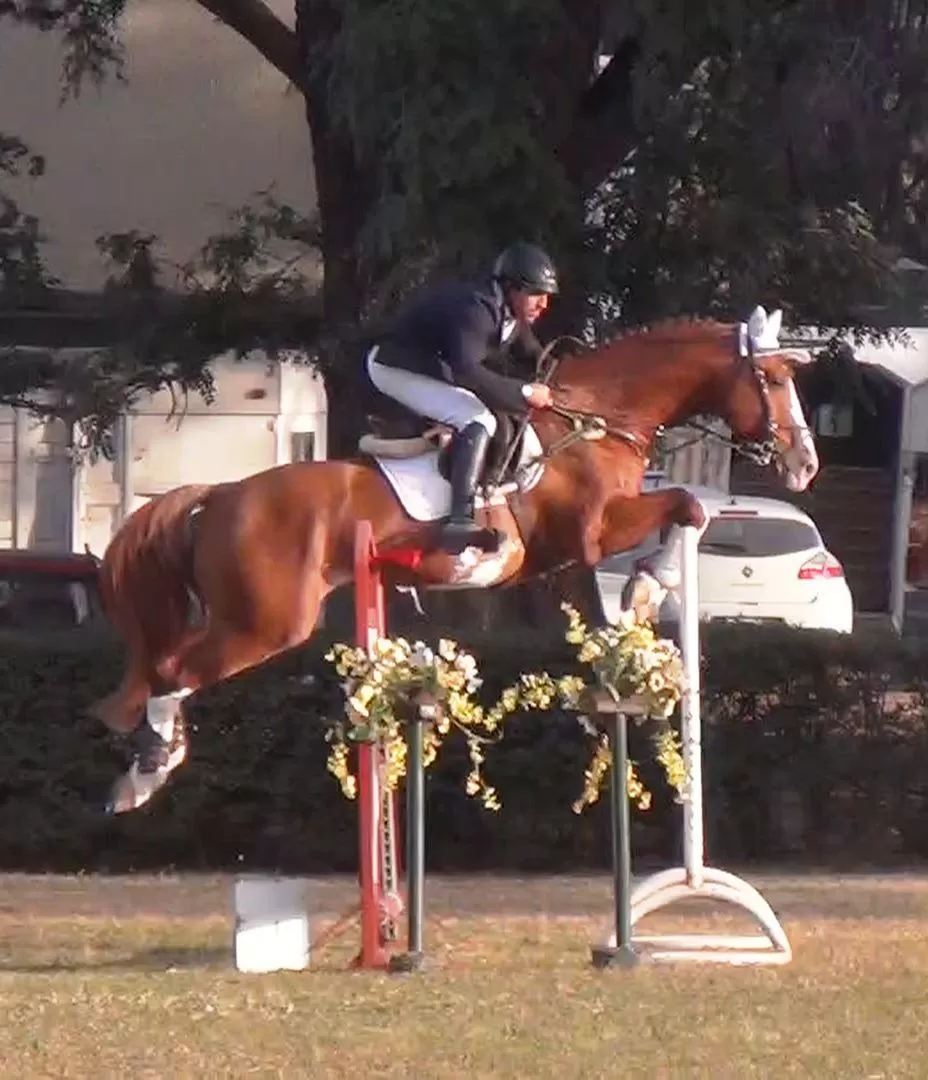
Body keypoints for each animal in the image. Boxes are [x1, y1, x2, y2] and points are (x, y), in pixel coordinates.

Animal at [94, 304, 821, 812]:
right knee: (172, 670)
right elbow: (686, 507)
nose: (806, 464)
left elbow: (670, 528)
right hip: (267, 622)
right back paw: (147, 773)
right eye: (774, 378)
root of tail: (219, 496)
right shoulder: (593, 532)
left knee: (169, 666)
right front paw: (647, 587)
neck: (596, 419)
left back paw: (149, 764)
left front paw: (636, 609)